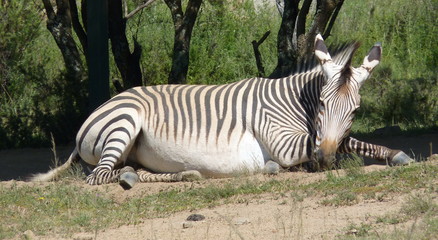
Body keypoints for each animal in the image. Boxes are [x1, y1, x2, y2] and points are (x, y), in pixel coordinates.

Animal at [31, 35, 414, 189]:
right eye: (321, 103)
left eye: (356, 109)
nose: (324, 159)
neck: (293, 103)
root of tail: (104, 105)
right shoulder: (285, 142)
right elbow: (338, 142)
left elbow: (350, 139)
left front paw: (394, 154)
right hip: (125, 122)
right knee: (99, 175)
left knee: (127, 169)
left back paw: (176, 174)